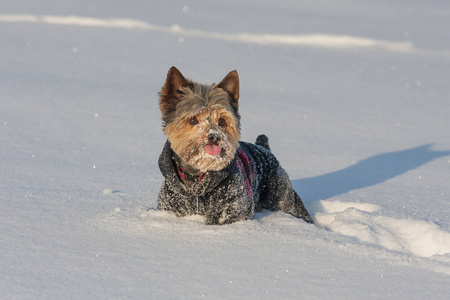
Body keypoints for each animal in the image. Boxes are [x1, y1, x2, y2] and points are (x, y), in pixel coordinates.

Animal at [157, 66, 312, 225]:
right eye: (193, 120)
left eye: (222, 121)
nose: (214, 136)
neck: (197, 177)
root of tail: (265, 148)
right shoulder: (170, 205)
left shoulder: (235, 209)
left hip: (282, 191)